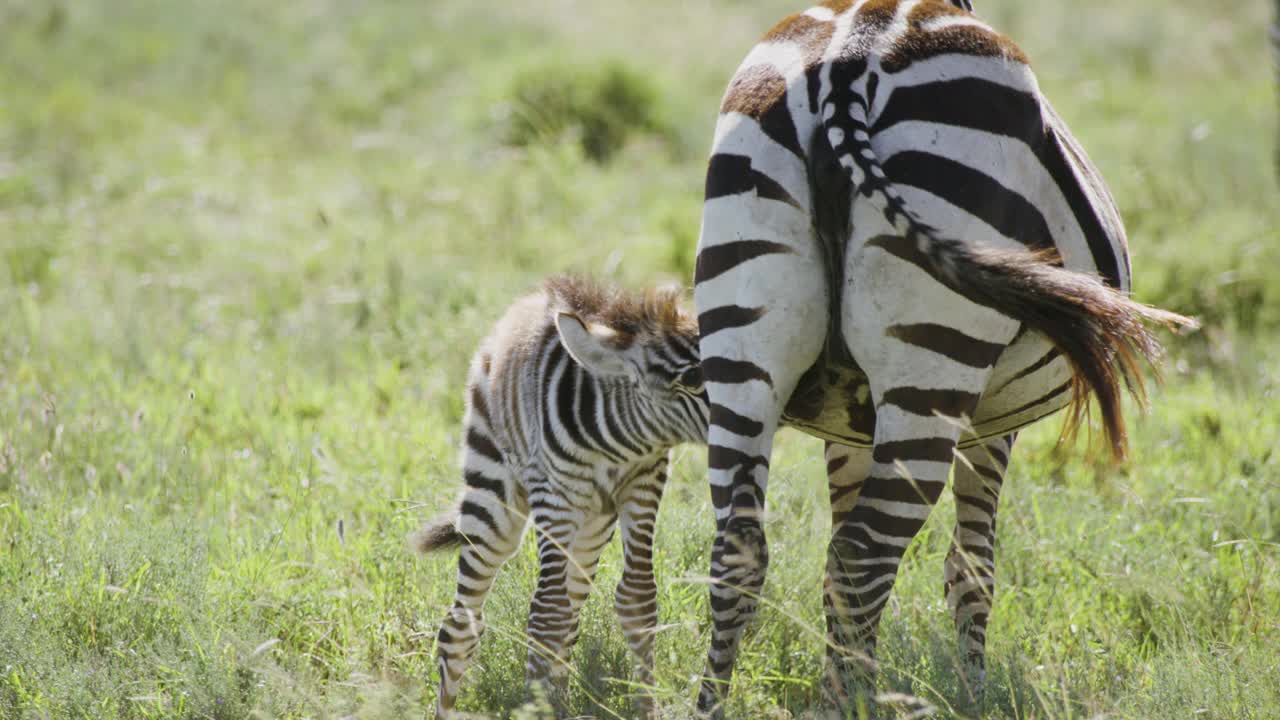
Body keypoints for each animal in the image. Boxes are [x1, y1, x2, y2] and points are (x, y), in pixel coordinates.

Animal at [412, 272, 706, 712]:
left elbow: (636, 600)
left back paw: (561, 700)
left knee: (570, 615)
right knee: (461, 625)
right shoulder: (554, 492)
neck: (621, 440)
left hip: (593, 525)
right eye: (690, 380)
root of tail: (526, 302)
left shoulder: (644, 483)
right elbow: (547, 614)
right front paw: (533, 709)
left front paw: (646, 706)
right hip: (494, 500)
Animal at [691, 0, 1187, 707]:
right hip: (936, 357)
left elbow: (832, 558)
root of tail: (850, 59)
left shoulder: (848, 422)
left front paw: (845, 675)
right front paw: (974, 695)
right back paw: (857, 709)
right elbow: (971, 566)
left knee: (742, 551)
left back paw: (727, 701)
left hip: (742, 345)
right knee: (866, 555)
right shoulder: (991, 423)